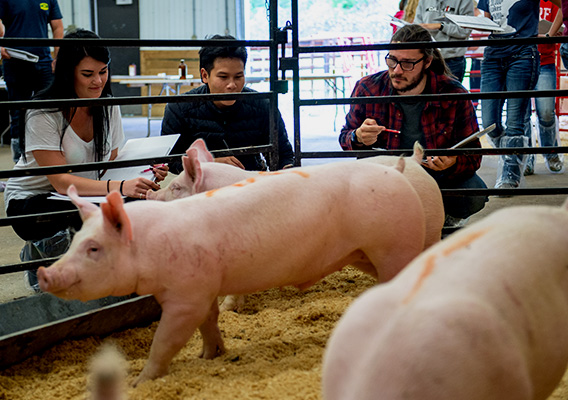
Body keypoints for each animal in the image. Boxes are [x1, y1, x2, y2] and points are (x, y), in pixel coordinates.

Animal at [36, 158, 426, 386]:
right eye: (75, 242)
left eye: (94, 249)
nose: (43, 273)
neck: (153, 244)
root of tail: (396, 172)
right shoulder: (205, 287)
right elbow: (209, 322)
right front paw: (209, 356)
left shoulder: (186, 296)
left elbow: (166, 339)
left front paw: (138, 383)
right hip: (364, 254)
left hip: (394, 246)